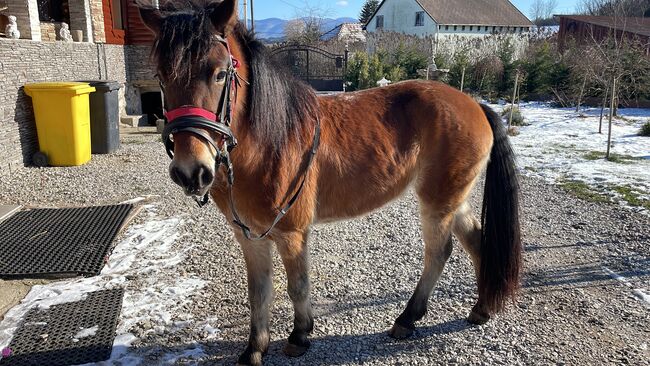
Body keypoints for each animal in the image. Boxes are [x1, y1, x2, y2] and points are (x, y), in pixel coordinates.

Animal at [138, 1, 520, 364]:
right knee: (477, 242)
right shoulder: (248, 236)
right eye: (160, 75)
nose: (191, 171)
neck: (271, 141)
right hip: (455, 197)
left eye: (219, 73)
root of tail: (474, 104)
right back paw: (482, 308)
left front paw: (299, 336)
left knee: (438, 253)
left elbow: (297, 286)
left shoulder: (291, 233)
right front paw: (254, 349)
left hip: (437, 201)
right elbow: (258, 292)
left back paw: (407, 319)